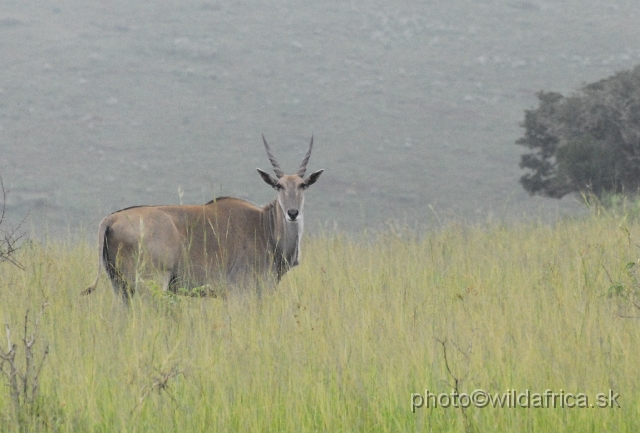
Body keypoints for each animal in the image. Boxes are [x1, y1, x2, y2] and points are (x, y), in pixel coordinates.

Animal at [84, 135, 324, 300]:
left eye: (303, 185)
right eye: (279, 186)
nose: (292, 213)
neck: (265, 226)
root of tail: (110, 220)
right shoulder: (239, 292)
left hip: (120, 287)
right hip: (150, 284)